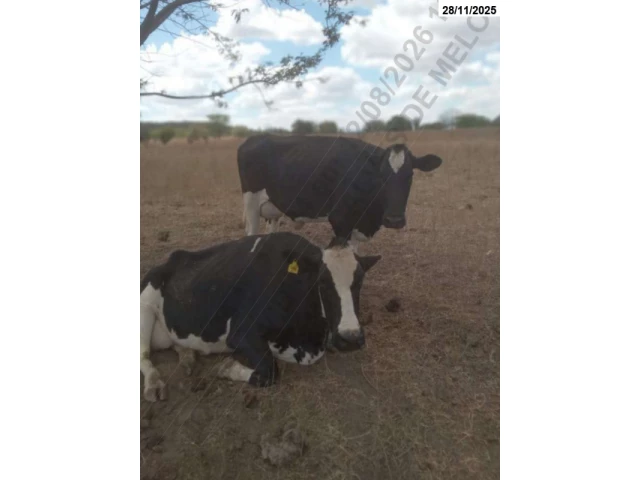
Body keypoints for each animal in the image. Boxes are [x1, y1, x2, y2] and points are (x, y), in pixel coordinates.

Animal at [140, 232, 381, 402]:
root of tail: (173, 257)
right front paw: (226, 368)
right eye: (321, 281)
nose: (350, 338)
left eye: (360, 280)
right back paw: (154, 384)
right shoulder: (241, 332)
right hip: (144, 304)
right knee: (144, 354)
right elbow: (269, 371)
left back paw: (188, 357)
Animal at [238, 134, 443, 250]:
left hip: (272, 209)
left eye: (410, 175)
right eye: (381, 175)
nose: (394, 220)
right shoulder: (340, 221)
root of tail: (252, 139)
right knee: (251, 234)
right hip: (251, 203)